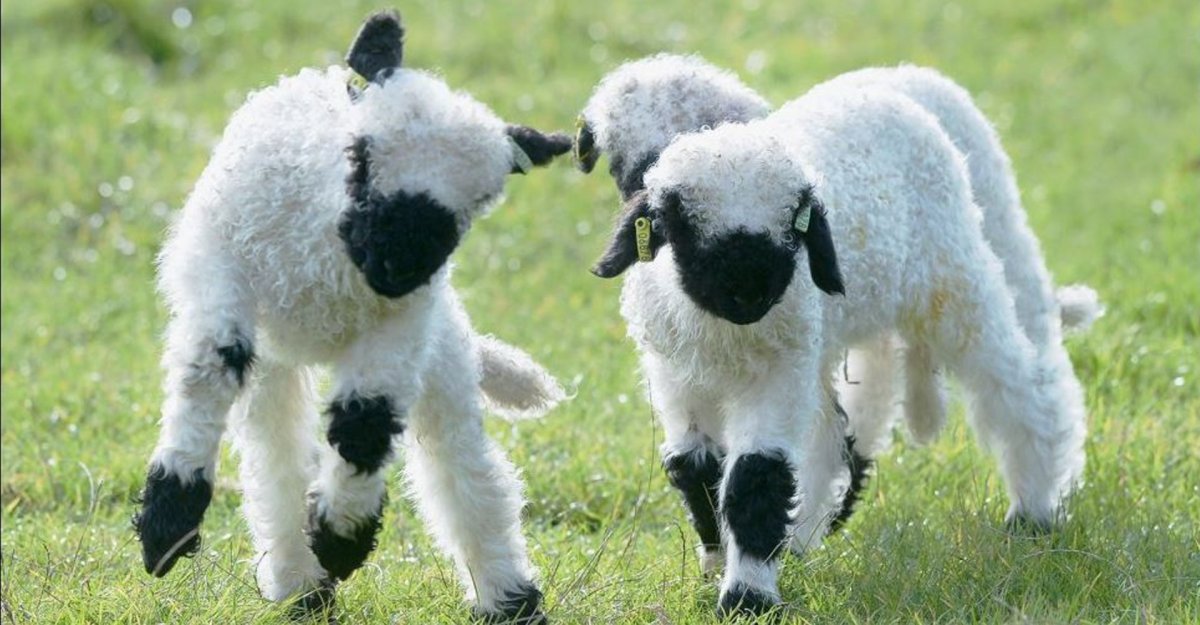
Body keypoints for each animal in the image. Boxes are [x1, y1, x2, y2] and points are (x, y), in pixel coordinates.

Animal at [132, 11, 570, 623]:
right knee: (277, 456)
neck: (325, 265)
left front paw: (342, 538)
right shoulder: (217, 268)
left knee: (464, 470)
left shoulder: (400, 325)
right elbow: (209, 371)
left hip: (438, 353)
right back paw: (300, 588)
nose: (395, 263)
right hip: (277, 362)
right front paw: (166, 523)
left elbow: (365, 420)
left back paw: (507, 600)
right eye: (360, 156)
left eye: (479, 201)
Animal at [577, 56, 1100, 572]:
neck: (720, 331)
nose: (748, 293)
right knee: (848, 422)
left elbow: (755, 470)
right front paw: (719, 557)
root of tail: (898, 80)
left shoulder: (782, 365)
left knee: (1021, 386)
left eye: (793, 226)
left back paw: (1035, 510)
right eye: (624, 163)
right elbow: (696, 467)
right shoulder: (677, 373)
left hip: (959, 277)